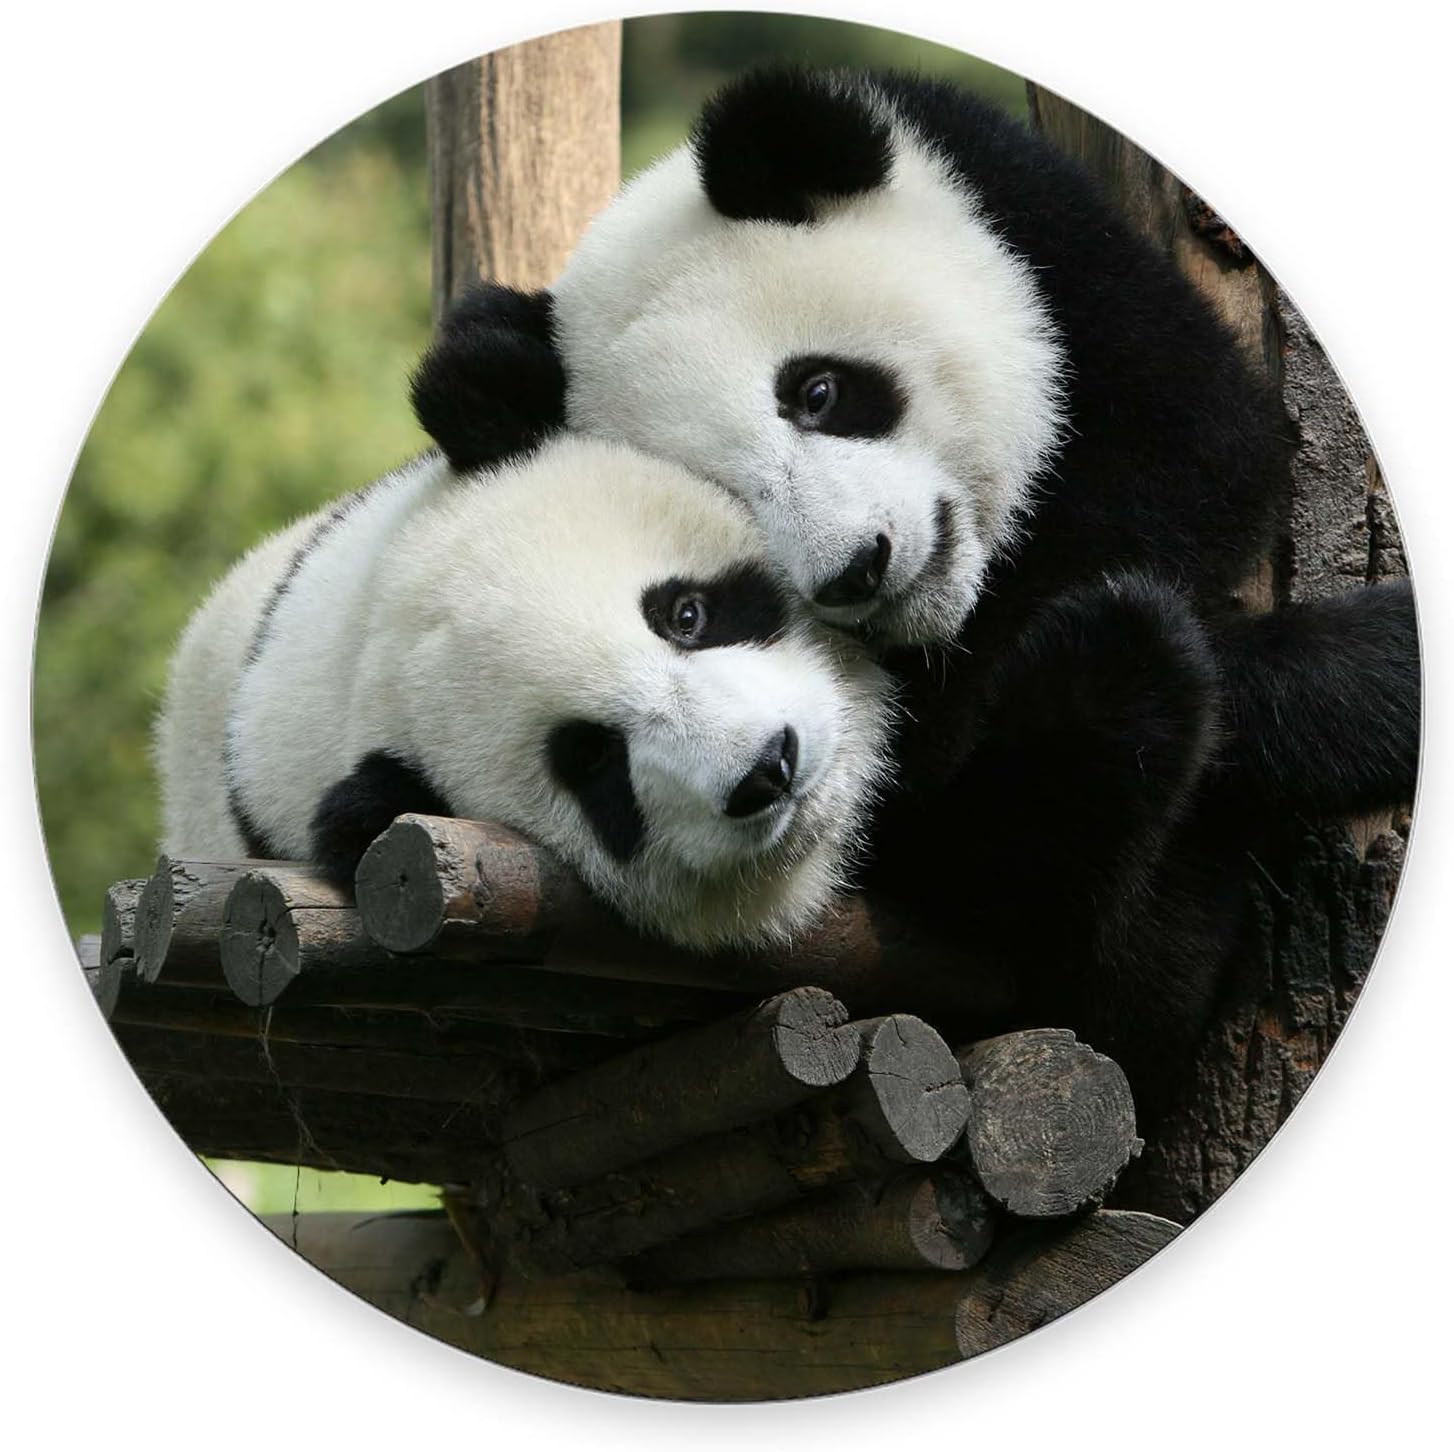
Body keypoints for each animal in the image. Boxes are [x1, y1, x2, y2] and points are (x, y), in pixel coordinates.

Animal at [416, 67, 1421, 1117]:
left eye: (817, 392)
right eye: (728, 497)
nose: (856, 569)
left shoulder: (1041, 237)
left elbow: (1203, 455)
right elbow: (945, 811)